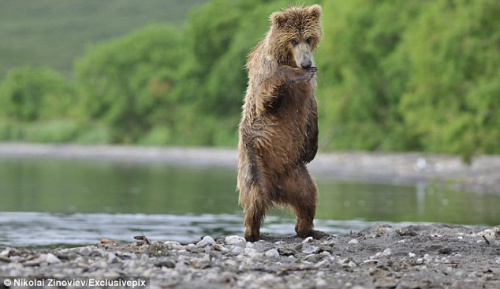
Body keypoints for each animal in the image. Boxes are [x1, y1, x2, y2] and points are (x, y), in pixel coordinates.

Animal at [238, 4, 324, 241]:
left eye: (309, 38)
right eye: (293, 40)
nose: (306, 63)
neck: (288, 58)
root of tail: (276, 189)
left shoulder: (309, 90)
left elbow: (311, 109)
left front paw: (311, 148)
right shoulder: (265, 71)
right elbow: (265, 96)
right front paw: (295, 74)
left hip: (296, 172)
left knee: (308, 196)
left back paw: (310, 229)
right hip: (254, 160)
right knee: (254, 196)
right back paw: (252, 232)